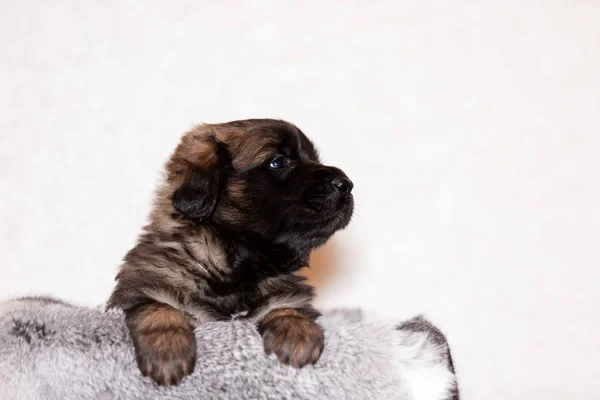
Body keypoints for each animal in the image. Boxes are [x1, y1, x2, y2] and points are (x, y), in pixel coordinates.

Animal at [106, 118, 354, 384]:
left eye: (314, 158)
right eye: (277, 161)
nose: (347, 184)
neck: (235, 265)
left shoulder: (284, 294)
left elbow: (285, 307)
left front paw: (296, 334)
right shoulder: (140, 288)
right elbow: (159, 308)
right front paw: (168, 349)